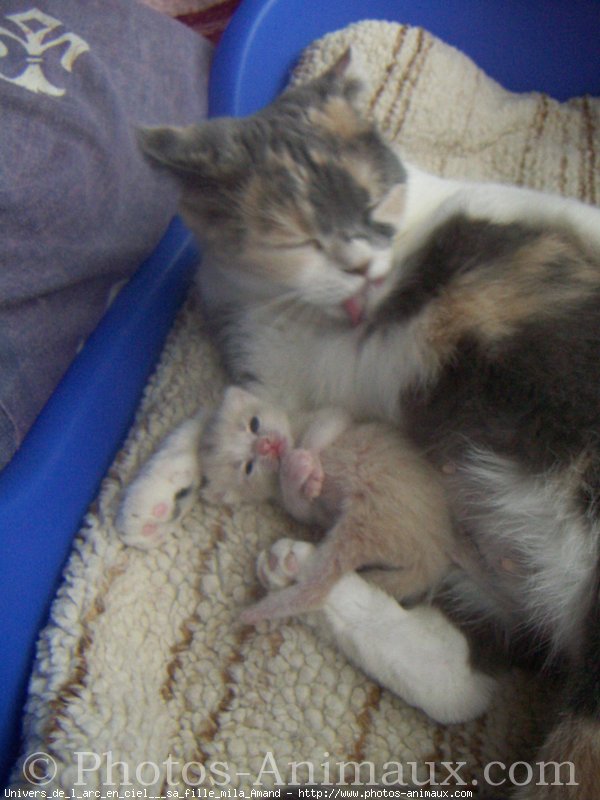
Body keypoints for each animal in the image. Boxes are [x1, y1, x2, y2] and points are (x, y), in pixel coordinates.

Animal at [199, 384, 452, 620]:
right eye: (248, 467)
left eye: (254, 424)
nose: (267, 445)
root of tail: (434, 554)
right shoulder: (306, 510)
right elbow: (299, 504)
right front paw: (297, 470)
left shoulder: (330, 415)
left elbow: (329, 422)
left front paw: (306, 462)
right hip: (366, 522)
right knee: (319, 588)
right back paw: (255, 611)